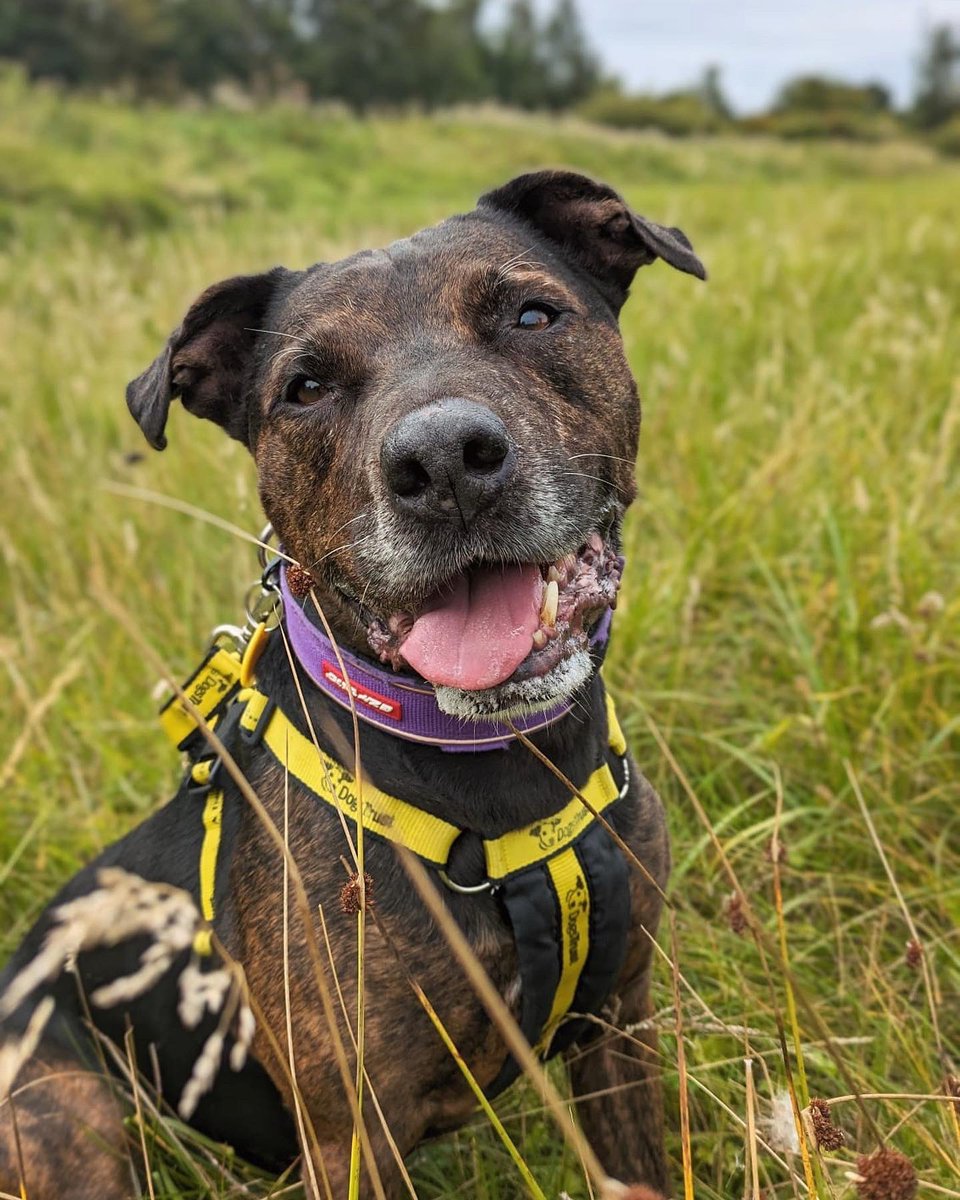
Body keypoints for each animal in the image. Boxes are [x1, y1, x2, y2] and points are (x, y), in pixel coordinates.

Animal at [0, 171, 705, 1200]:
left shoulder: (619, 1021)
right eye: (306, 387)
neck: (497, 765)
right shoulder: (356, 1135)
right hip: (70, 1117)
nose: (445, 461)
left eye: (533, 315)